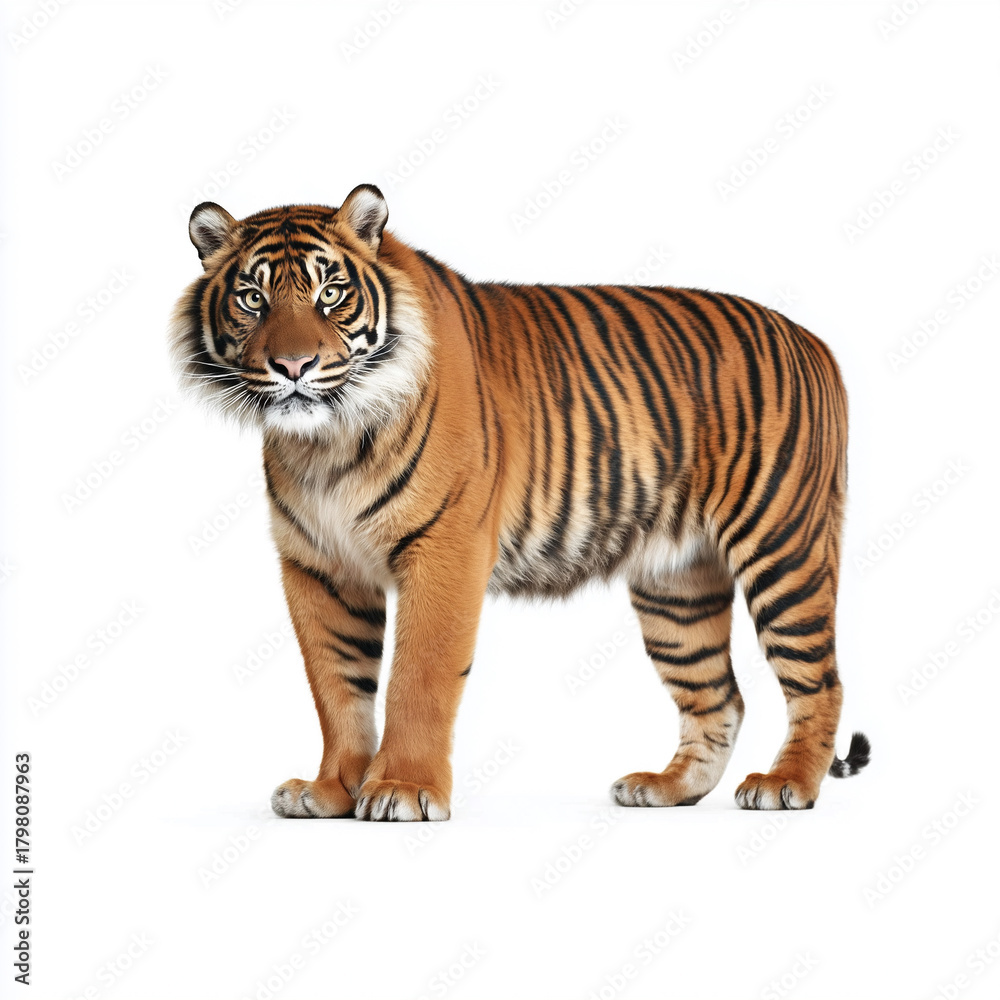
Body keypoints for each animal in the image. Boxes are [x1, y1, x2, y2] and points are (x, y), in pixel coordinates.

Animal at [169, 183, 870, 821]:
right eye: (253, 298)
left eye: (330, 294)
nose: (293, 366)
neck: (326, 441)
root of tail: (813, 341)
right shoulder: (319, 567)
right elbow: (336, 687)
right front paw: (331, 791)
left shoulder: (445, 548)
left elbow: (418, 678)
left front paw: (401, 790)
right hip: (677, 586)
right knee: (719, 698)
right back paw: (665, 788)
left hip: (782, 550)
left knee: (821, 682)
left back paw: (786, 784)